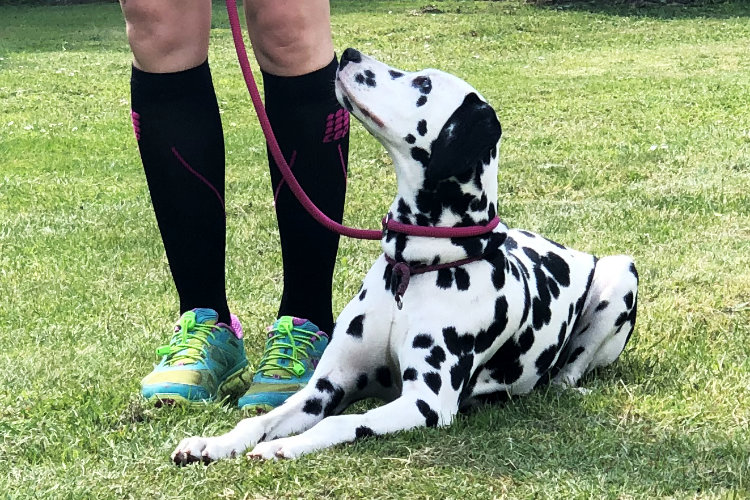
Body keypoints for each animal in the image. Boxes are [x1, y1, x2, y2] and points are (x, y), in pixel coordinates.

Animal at [172, 48, 640, 462]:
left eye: (423, 84)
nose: (349, 53)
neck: (413, 268)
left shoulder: (425, 402)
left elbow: (342, 422)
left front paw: (285, 446)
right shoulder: (324, 388)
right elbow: (262, 418)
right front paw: (215, 442)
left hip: (621, 273)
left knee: (567, 374)